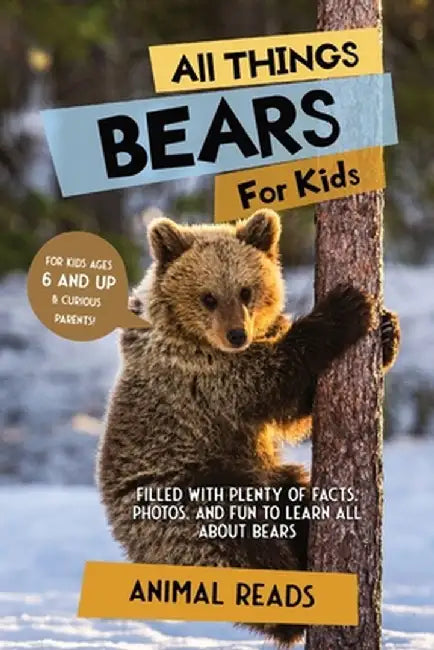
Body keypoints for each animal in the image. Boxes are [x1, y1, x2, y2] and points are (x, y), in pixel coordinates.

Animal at [97, 209, 400, 648]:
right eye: (208, 296)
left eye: (246, 291)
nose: (236, 333)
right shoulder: (202, 375)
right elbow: (270, 381)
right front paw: (345, 308)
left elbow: (297, 407)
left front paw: (388, 328)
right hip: (190, 498)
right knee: (244, 546)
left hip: (264, 478)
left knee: (294, 494)